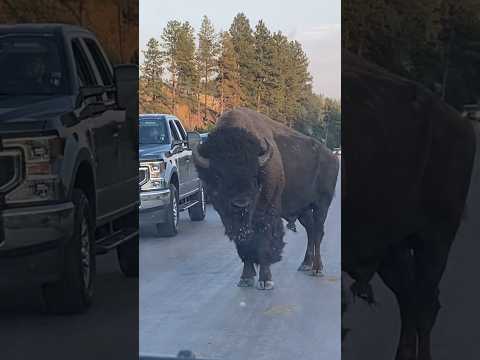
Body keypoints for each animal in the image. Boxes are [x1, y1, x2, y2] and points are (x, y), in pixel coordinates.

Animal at [191, 107, 338, 290]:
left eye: (255, 175)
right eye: (218, 176)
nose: (241, 204)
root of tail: (332, 156)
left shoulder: (266, 214)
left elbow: (264, 242)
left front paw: (266, 280)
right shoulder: (232, 220)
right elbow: (244, 245)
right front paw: (246, 278)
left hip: (322, 204)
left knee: (317, 232)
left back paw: (317, 269)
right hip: (303, 210)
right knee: (311, 230)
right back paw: (305, 264)